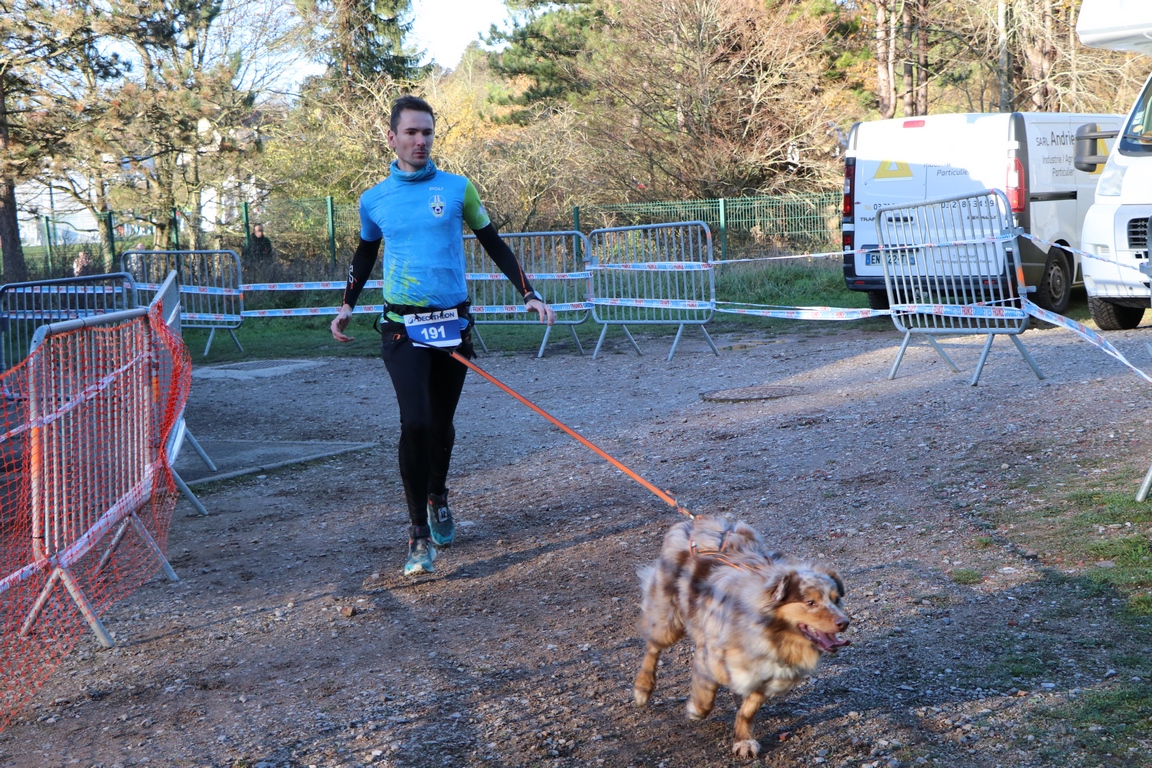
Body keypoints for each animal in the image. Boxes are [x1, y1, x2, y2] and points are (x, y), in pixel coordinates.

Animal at [632, 514, 850, 759]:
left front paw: (743, 740)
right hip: (667, 619)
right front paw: (696, 709)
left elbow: (748, 710)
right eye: (810, 602)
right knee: (653, 648)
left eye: (836, 600)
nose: (844, 622)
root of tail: (697, 521)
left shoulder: (769, 678)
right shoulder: (709, 657)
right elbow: (707, 698)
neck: (774, 638)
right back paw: (643, 688)